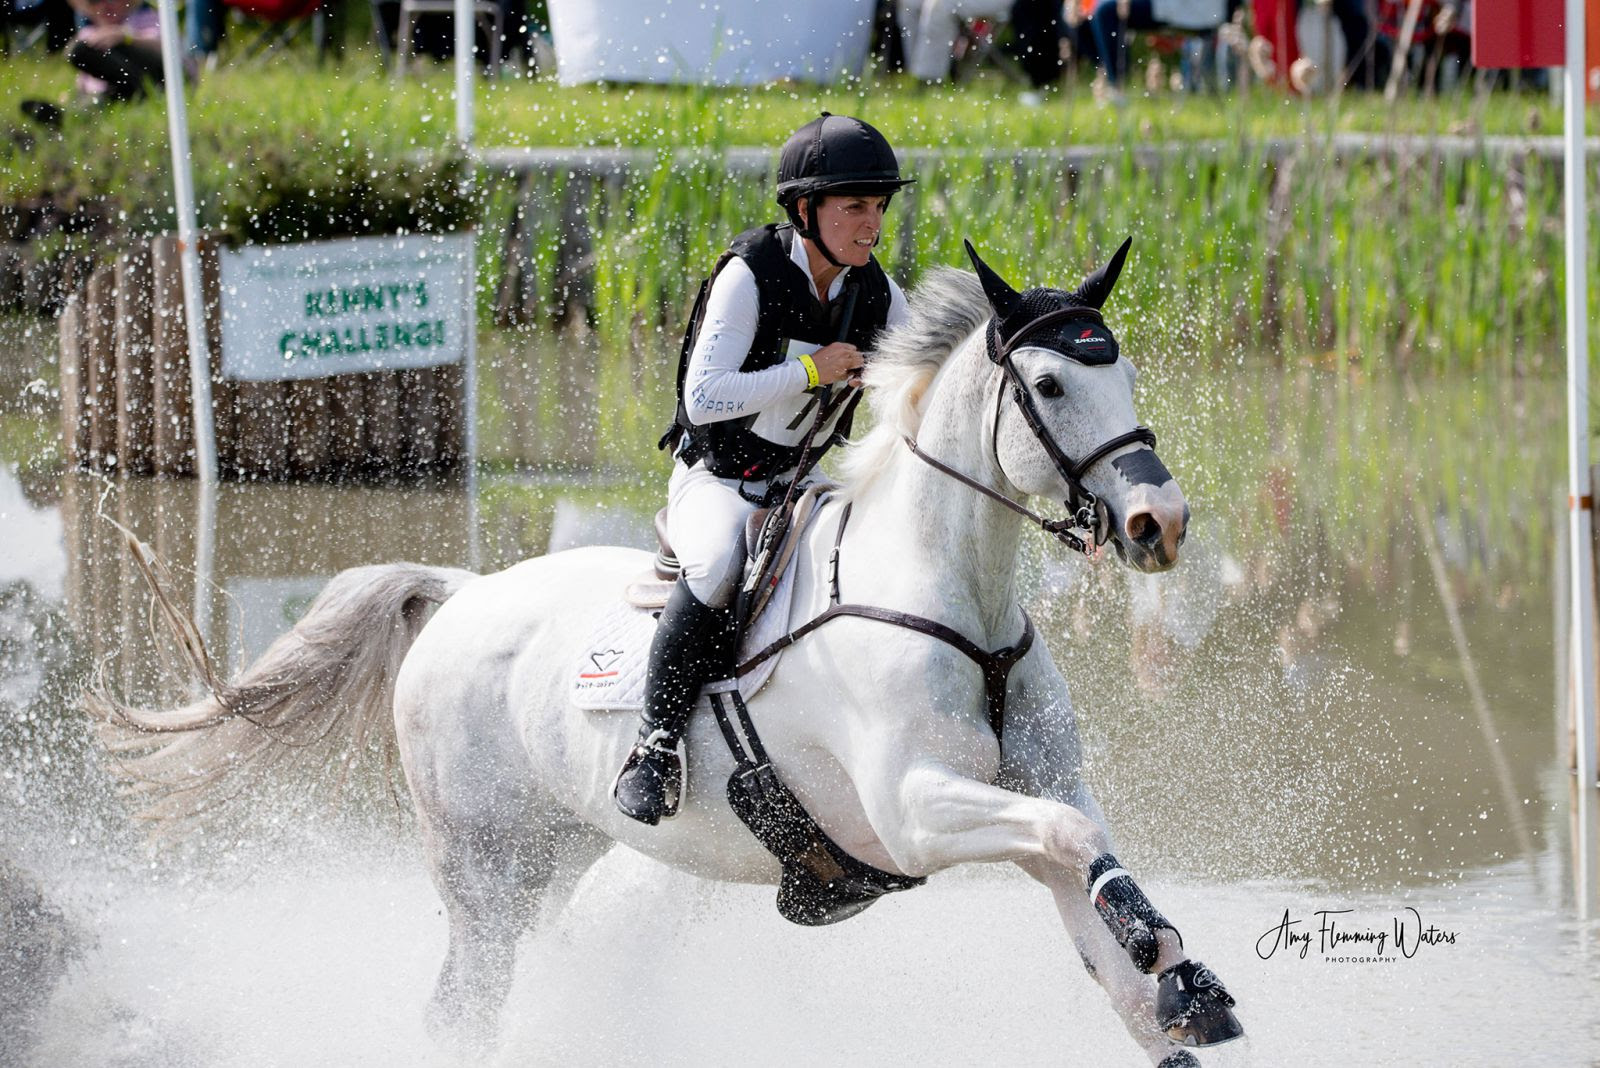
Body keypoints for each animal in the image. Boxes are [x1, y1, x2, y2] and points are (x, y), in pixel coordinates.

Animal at [106, 244, 1241, 1068]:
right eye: (1048, 383)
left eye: (1122, 370)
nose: (1160, 522)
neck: (949, 594)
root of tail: (461, 596)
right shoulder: (914, 813)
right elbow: (1062, 844)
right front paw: (1173, 977)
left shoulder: (1048, 782)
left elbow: (1087, 872)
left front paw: (1177, 992)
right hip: (484, 869)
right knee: (465, 1005)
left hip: (560, 849)